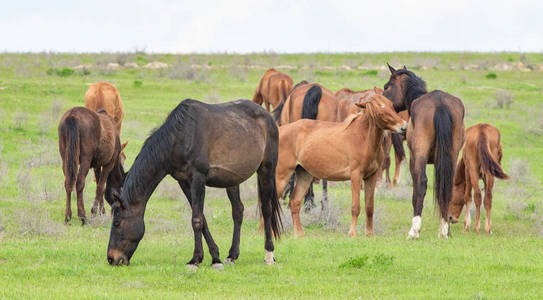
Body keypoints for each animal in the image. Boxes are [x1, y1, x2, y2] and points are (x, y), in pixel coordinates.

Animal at [107, 99, 284, 270]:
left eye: (116, 222)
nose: (111, 258)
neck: (179, 137)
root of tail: (268, 117)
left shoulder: (198, 178)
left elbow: (196, 219)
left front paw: (195, 260)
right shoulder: (184, 182)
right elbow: (201, 217)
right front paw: (215, 257)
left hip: (266, 170)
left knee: (266, 210)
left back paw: (269, 254)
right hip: (232, 180)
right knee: (238, 211)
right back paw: (232, 255)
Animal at [276, 95, 408, 238]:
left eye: (392, 106)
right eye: (380, 113)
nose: (403, 127)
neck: (362, 139)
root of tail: (280, 130)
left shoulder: (371, 177)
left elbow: (369, 207)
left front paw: (369, 234)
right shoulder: (356, 176)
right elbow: (356, 207)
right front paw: (352, 233)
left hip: (304, 176)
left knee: (294, 203)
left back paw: (299, 234)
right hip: (281, 176)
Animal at [382, 64, 468, 240]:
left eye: (387, 87)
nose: (381, 99)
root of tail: (440, 104)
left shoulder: (414, 159)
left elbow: (416, 190)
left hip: (420, 155)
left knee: (421, 184)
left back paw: (414, 230)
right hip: (452, 155)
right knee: (447, 186)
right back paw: (444, 229)